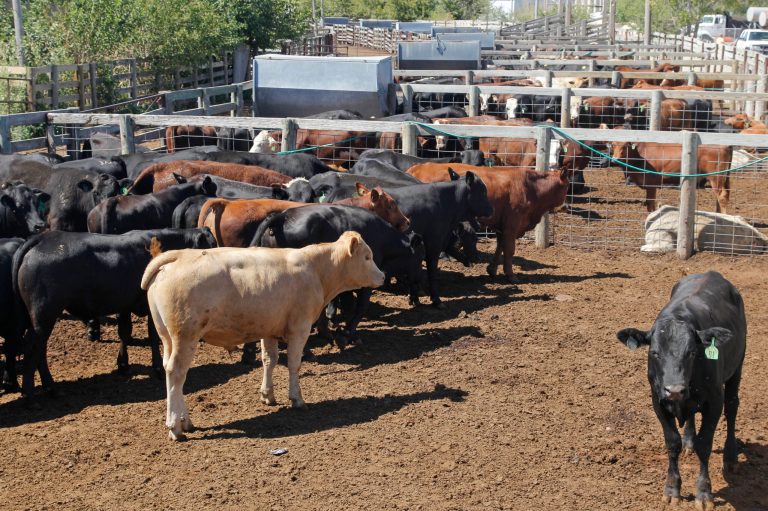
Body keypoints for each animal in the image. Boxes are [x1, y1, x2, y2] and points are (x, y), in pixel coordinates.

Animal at [13, 228, 218, 398]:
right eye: (209, 247)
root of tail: (43, 238)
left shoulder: (125, 306)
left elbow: (124, 332)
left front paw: (123, 365)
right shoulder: (149, 306)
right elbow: (152, 336)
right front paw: (157, 367)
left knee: (39, 349)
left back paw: (49, 387)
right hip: (44, 316)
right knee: (32, 347)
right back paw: (30, 392)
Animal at [142, 231, 384, 440]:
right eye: (367, 257)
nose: (382, 276)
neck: (315, 269)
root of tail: (178, 256)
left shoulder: (269, 329)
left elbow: (270, 360)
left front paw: (267, 395)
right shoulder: (300, 327)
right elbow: (294, 364)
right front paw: (297, 398)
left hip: (168, 337)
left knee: (170, 371)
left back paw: (186, 421)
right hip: (185, 337)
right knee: (176, 373)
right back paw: (175, 427)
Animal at [407, 164, 569, 281]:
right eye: (567, 187)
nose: (565, 206)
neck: (529, 187)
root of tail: (417, 167)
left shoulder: (502, 227)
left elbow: (500, 247)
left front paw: (492, 270)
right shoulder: (512, 226)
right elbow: (509, 250)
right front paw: (511, 275)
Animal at [616, 272, 746, 510]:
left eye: (692, 352)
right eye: (654, 352)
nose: (675, 389)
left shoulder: (715, 402)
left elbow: (705, 444)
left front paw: (704, 493)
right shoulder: (658, 401)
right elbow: (672, 442)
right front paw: (671, 488)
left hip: (737, 367)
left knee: (732, 408)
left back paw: (731, 457)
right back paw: (689, 442)